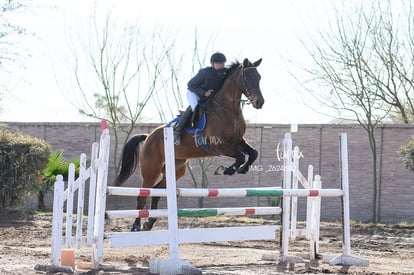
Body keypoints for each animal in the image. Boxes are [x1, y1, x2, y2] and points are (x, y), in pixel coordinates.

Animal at [115, 58, 266, 233]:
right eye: (247, 78)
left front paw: (242, 169)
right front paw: (224, 170)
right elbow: (241, 156)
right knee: (143, 194)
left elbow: (253, 153)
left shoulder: (238, 142)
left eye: (259, 77)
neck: (228, 110)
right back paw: (136, 226)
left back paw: (150, 222)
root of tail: (148, 137)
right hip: (151, 170)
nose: (259, 102)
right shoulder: (219, 145)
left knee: (159, 191)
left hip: (176, 168)